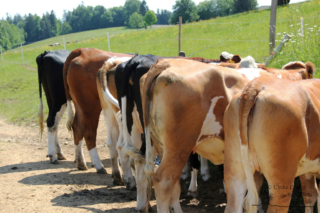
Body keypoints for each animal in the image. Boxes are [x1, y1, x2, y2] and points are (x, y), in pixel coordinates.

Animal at [63, 47, 133, 184]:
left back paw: (81, 162)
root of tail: (82, 50)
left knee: (77, 127)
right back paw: (99, 166)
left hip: (83, 105)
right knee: (89, 132)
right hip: (91, 107)